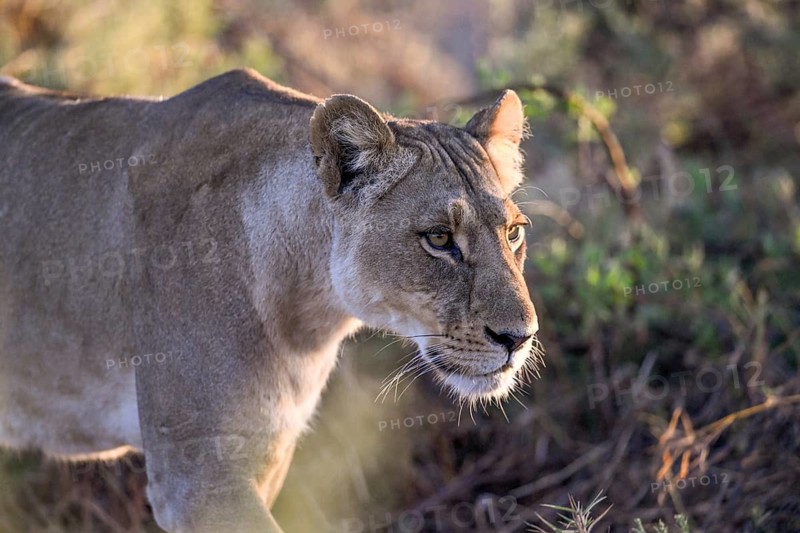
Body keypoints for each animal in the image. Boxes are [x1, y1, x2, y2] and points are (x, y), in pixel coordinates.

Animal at [0, 68, 541, 532]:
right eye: (439, 238)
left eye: (514, 233)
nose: (520, 338)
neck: (310, 315)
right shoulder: (196, 475)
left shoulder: (269, 454)